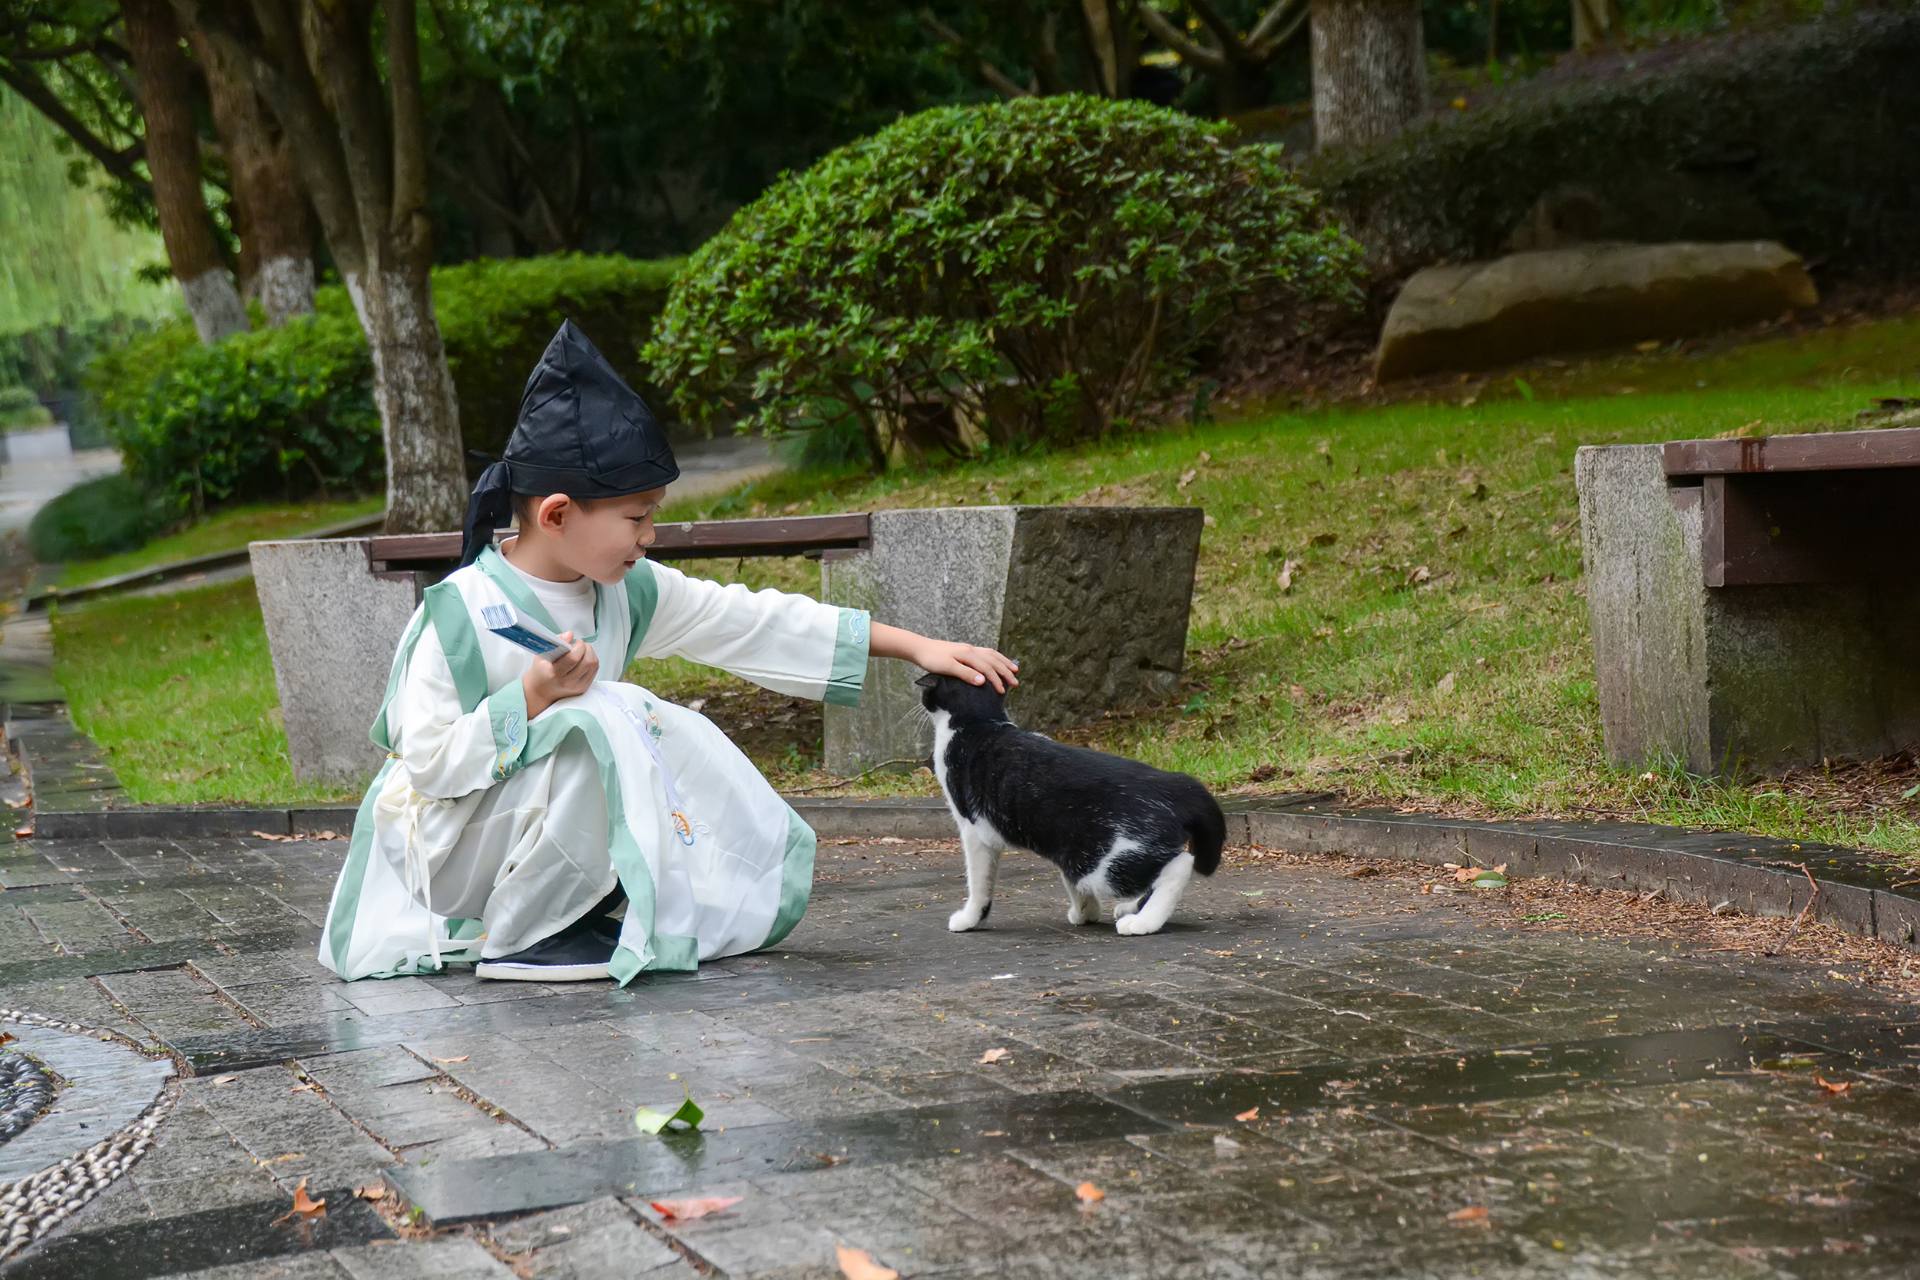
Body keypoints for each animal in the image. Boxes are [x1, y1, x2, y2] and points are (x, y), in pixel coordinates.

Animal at [917, 675, 1221, 936]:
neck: (978, 723)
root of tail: (1172, 783)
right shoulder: (1063, 847)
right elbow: (1072, 883)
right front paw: (1085, 913)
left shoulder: (974, 831)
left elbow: (979, 883)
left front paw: (968, 919)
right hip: (1083, 852)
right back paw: (1131, 908)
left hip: (1106, 861)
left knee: (1180, 865)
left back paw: (1142, 922)